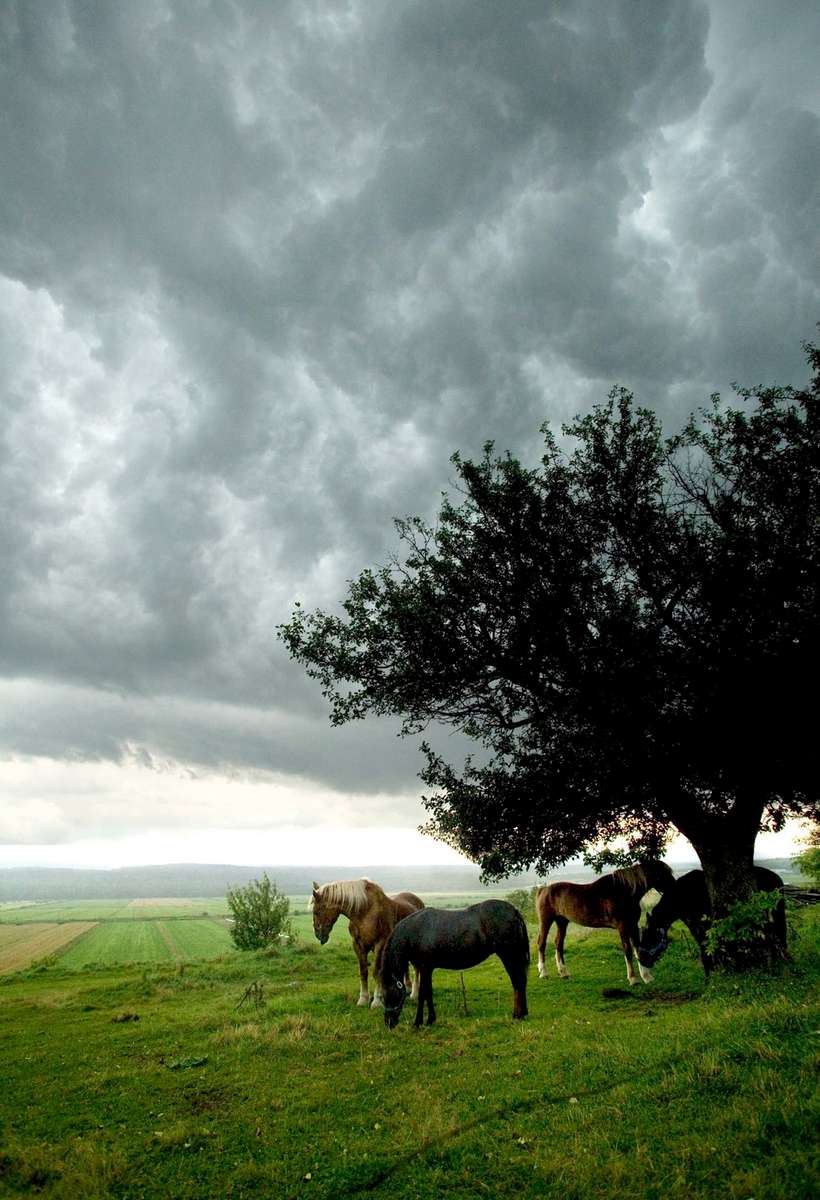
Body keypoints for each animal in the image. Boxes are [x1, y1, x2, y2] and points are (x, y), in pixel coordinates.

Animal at [309, 878, 422, 1008]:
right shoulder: (358, 945)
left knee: (416, 968)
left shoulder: (380, 945)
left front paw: (377, 1001)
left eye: (316, 911)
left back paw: (414, 994)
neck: (365, 912)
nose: (318, 934)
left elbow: (377, 971)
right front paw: (363, 999)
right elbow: (363, 972)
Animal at [381, 902, 528, 1032]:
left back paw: (517, 1015)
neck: (414, 931)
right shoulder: (428, 969)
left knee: (517, 982)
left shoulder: (425, 968)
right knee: (520, 982)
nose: (388, 1023)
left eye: (389, 994)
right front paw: (430, 1020)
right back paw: (523, 1013)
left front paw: (417, 1023)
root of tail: (514, 911)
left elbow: (422, 994)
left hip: (509, 956)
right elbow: (428, 992)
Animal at [535, 864, 677, 984]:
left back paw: (563, 972)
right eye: (663, 873)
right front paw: (633, 979)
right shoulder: (622, 927)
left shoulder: (633, 926)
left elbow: (638, 948)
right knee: (542, 943)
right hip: (546, 921)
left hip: (562, 921)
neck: (624, 892)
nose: (675, 888)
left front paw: (647, 977)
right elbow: (628, 950)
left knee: (558, 943)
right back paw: (543, 973)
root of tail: (543, 889)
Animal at [638, 864, 787, 974]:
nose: (642, 959)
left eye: (650, 936)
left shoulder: (704, 926)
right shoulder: (694, 927)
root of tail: (777, 878)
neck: (683, 895)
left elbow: (706, 951)